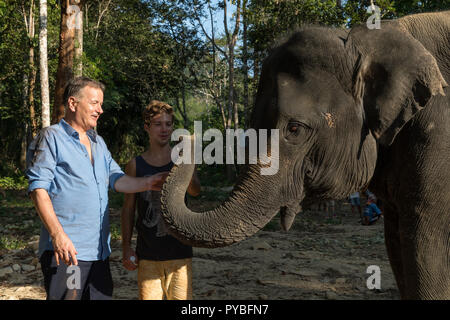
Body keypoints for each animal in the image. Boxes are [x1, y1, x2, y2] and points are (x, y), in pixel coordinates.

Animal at [161, 10, 450, 300]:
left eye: (294, 129)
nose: (187, 136)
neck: (365, 39)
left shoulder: (436, 135)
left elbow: (427, 247)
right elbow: (396, 244)